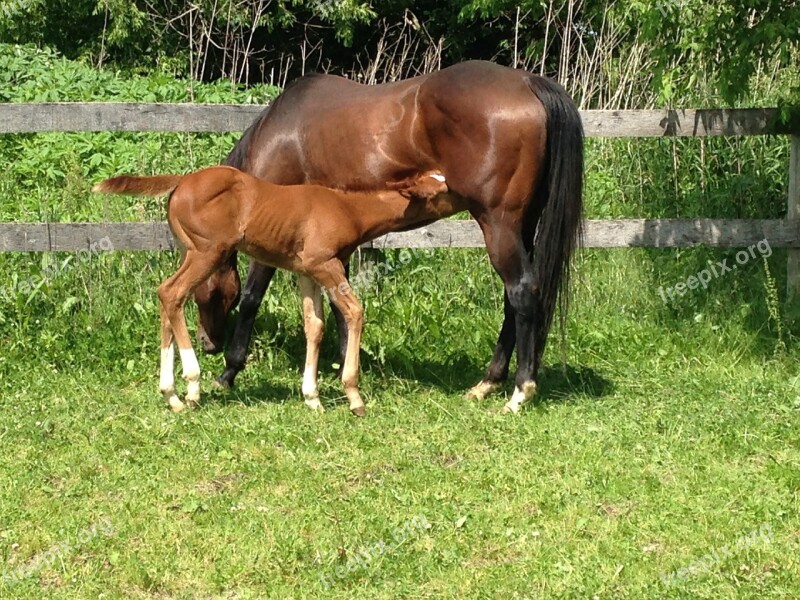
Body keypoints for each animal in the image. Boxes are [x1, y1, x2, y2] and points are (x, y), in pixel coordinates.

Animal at [92, 166, 456, 414]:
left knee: (166, 296)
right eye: (441, 189)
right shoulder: (326, 264)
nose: (466, 193)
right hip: (208, 252)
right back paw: (192, 387)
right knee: (172, 293)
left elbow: (315, 325)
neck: (348, 208)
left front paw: (312, 398)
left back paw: (171, 395)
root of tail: (182, 181)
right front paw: (354, 396)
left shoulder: (307, 271)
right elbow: (354, 311)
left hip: (189, 251)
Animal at [198, 62, 580, 418]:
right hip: (521, 228)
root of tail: (528, 82)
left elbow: (251, 297)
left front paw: (228, 373)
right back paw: (487, 383)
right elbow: (340, 306)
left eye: (203, 290)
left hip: (498, 225)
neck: (279, 135)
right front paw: (346, 369)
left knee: (522, 292)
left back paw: (519, 393)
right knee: (512, 301)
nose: (207, 343)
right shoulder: (334, 246)